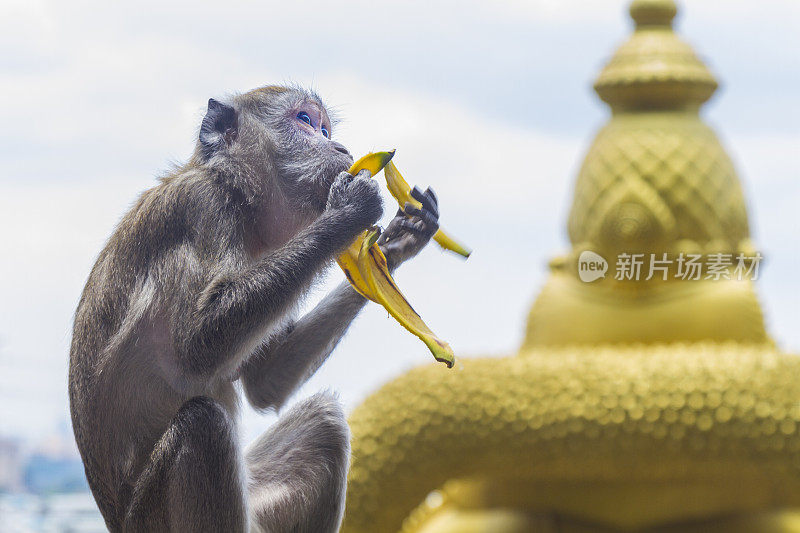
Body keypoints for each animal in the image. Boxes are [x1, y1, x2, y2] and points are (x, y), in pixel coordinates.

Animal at [69, 85, 440, 528]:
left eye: (326, 128)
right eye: (305, 121)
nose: (340, 146)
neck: (237, 195)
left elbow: (265, 382)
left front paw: (399, 239)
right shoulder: (202, 207)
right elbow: (197, 345)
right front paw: (351, 210)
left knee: (323, 422)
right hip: (153, 517)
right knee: (204, 424)